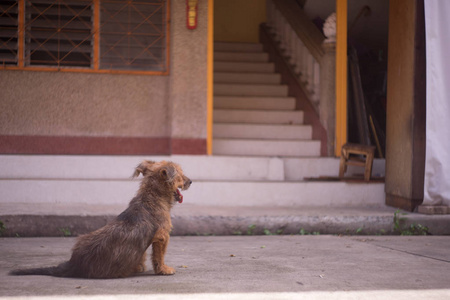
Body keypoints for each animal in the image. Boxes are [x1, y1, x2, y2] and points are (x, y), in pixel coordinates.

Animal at [9, 161, 191, 278]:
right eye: (180, 174)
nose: (190, 181)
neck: (152, 196)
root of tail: (73, 263)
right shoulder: (162, 237)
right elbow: (158, 256)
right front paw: (163, 270)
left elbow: (143, 254)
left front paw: (139, 266)